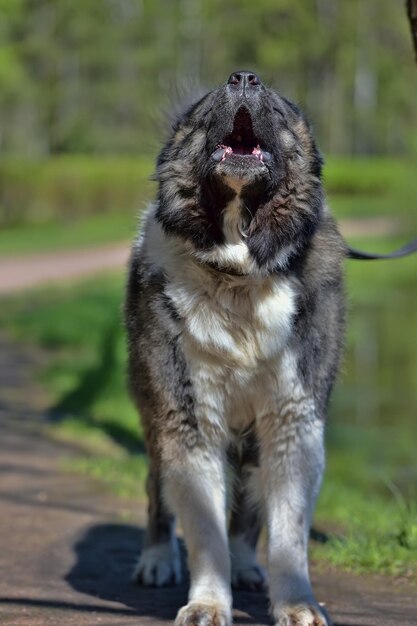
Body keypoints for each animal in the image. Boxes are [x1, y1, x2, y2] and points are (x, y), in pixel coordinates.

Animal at [124, 70, 344, 624]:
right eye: (206, 109)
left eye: (278, 107)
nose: (244, 77)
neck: (239, 270)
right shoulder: (186, 417)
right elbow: (205, 530)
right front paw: (206, 603)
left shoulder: (292, 419)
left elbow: (288, 532)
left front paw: (296, 603)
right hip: (155, 415)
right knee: (157, 491)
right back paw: (157, 558)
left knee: (248, 507)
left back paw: (247, 566)